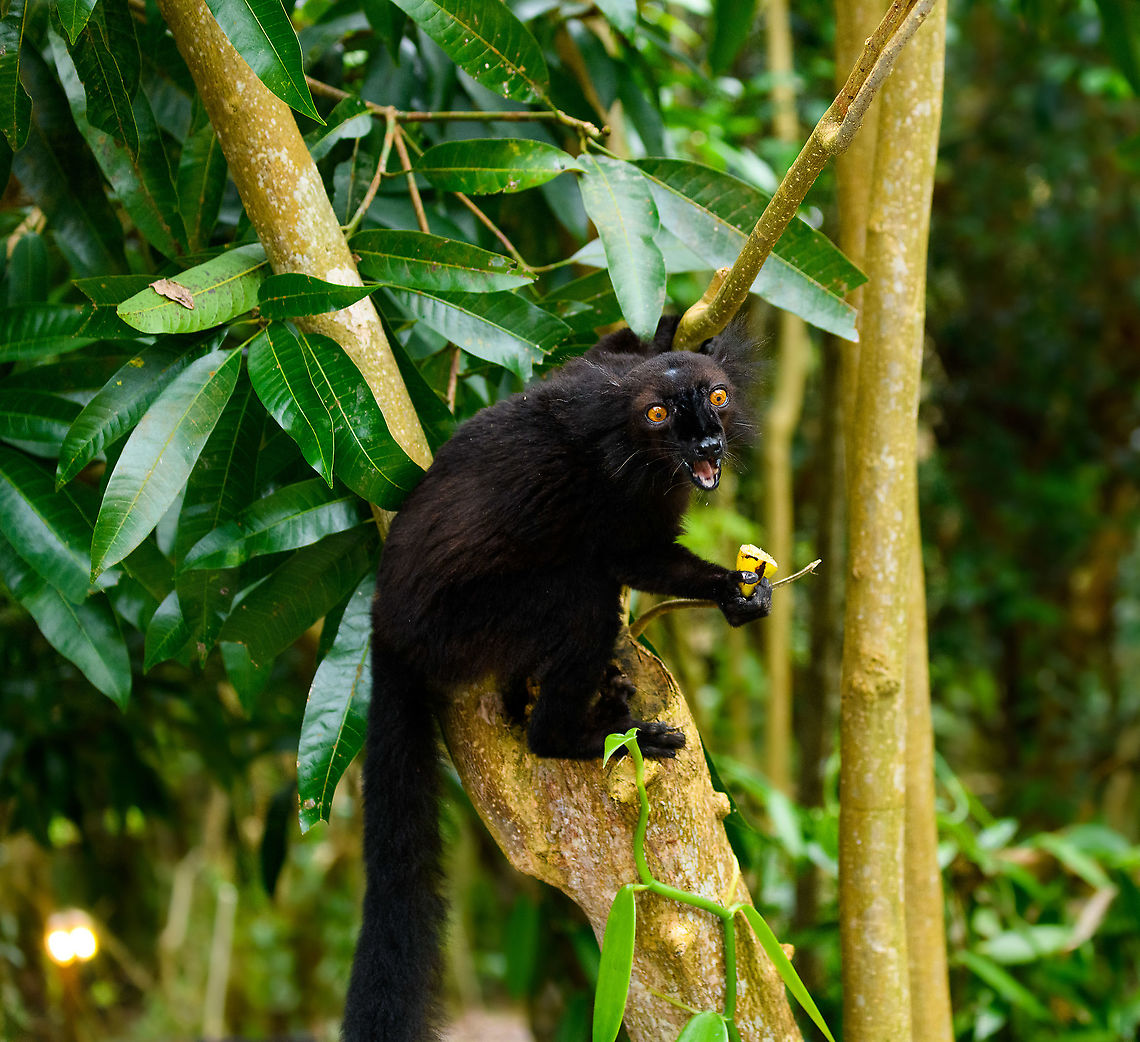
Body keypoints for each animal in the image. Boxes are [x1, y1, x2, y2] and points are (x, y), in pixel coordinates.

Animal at [342, 316, 771, 1042]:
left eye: (716, 397)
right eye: (659, 415)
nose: (709, 443)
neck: (642, 450)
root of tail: (386, 621)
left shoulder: (595, 377)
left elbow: (600, 356)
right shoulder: (620, 492)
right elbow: (629, 557)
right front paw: (725, 587)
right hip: (461, 625)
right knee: (579, 598)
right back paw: (584, 731)